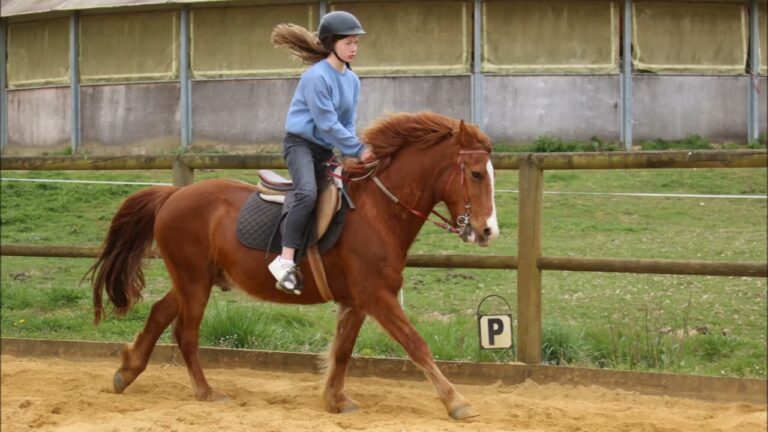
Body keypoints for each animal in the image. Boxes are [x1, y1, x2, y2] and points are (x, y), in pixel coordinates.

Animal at [88, 110, 498, 418]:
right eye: (477, 173)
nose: (487, 230)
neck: (377, 211)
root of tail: (173, 195)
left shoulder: (356, 301)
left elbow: (343, 350)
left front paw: (336, 400)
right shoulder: (376, 296)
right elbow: (416, 344)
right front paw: (458, 402)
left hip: (195, 279)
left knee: (160, 314)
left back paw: (127, 371)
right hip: (193, 281)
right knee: (185, 334)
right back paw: (206, 392)